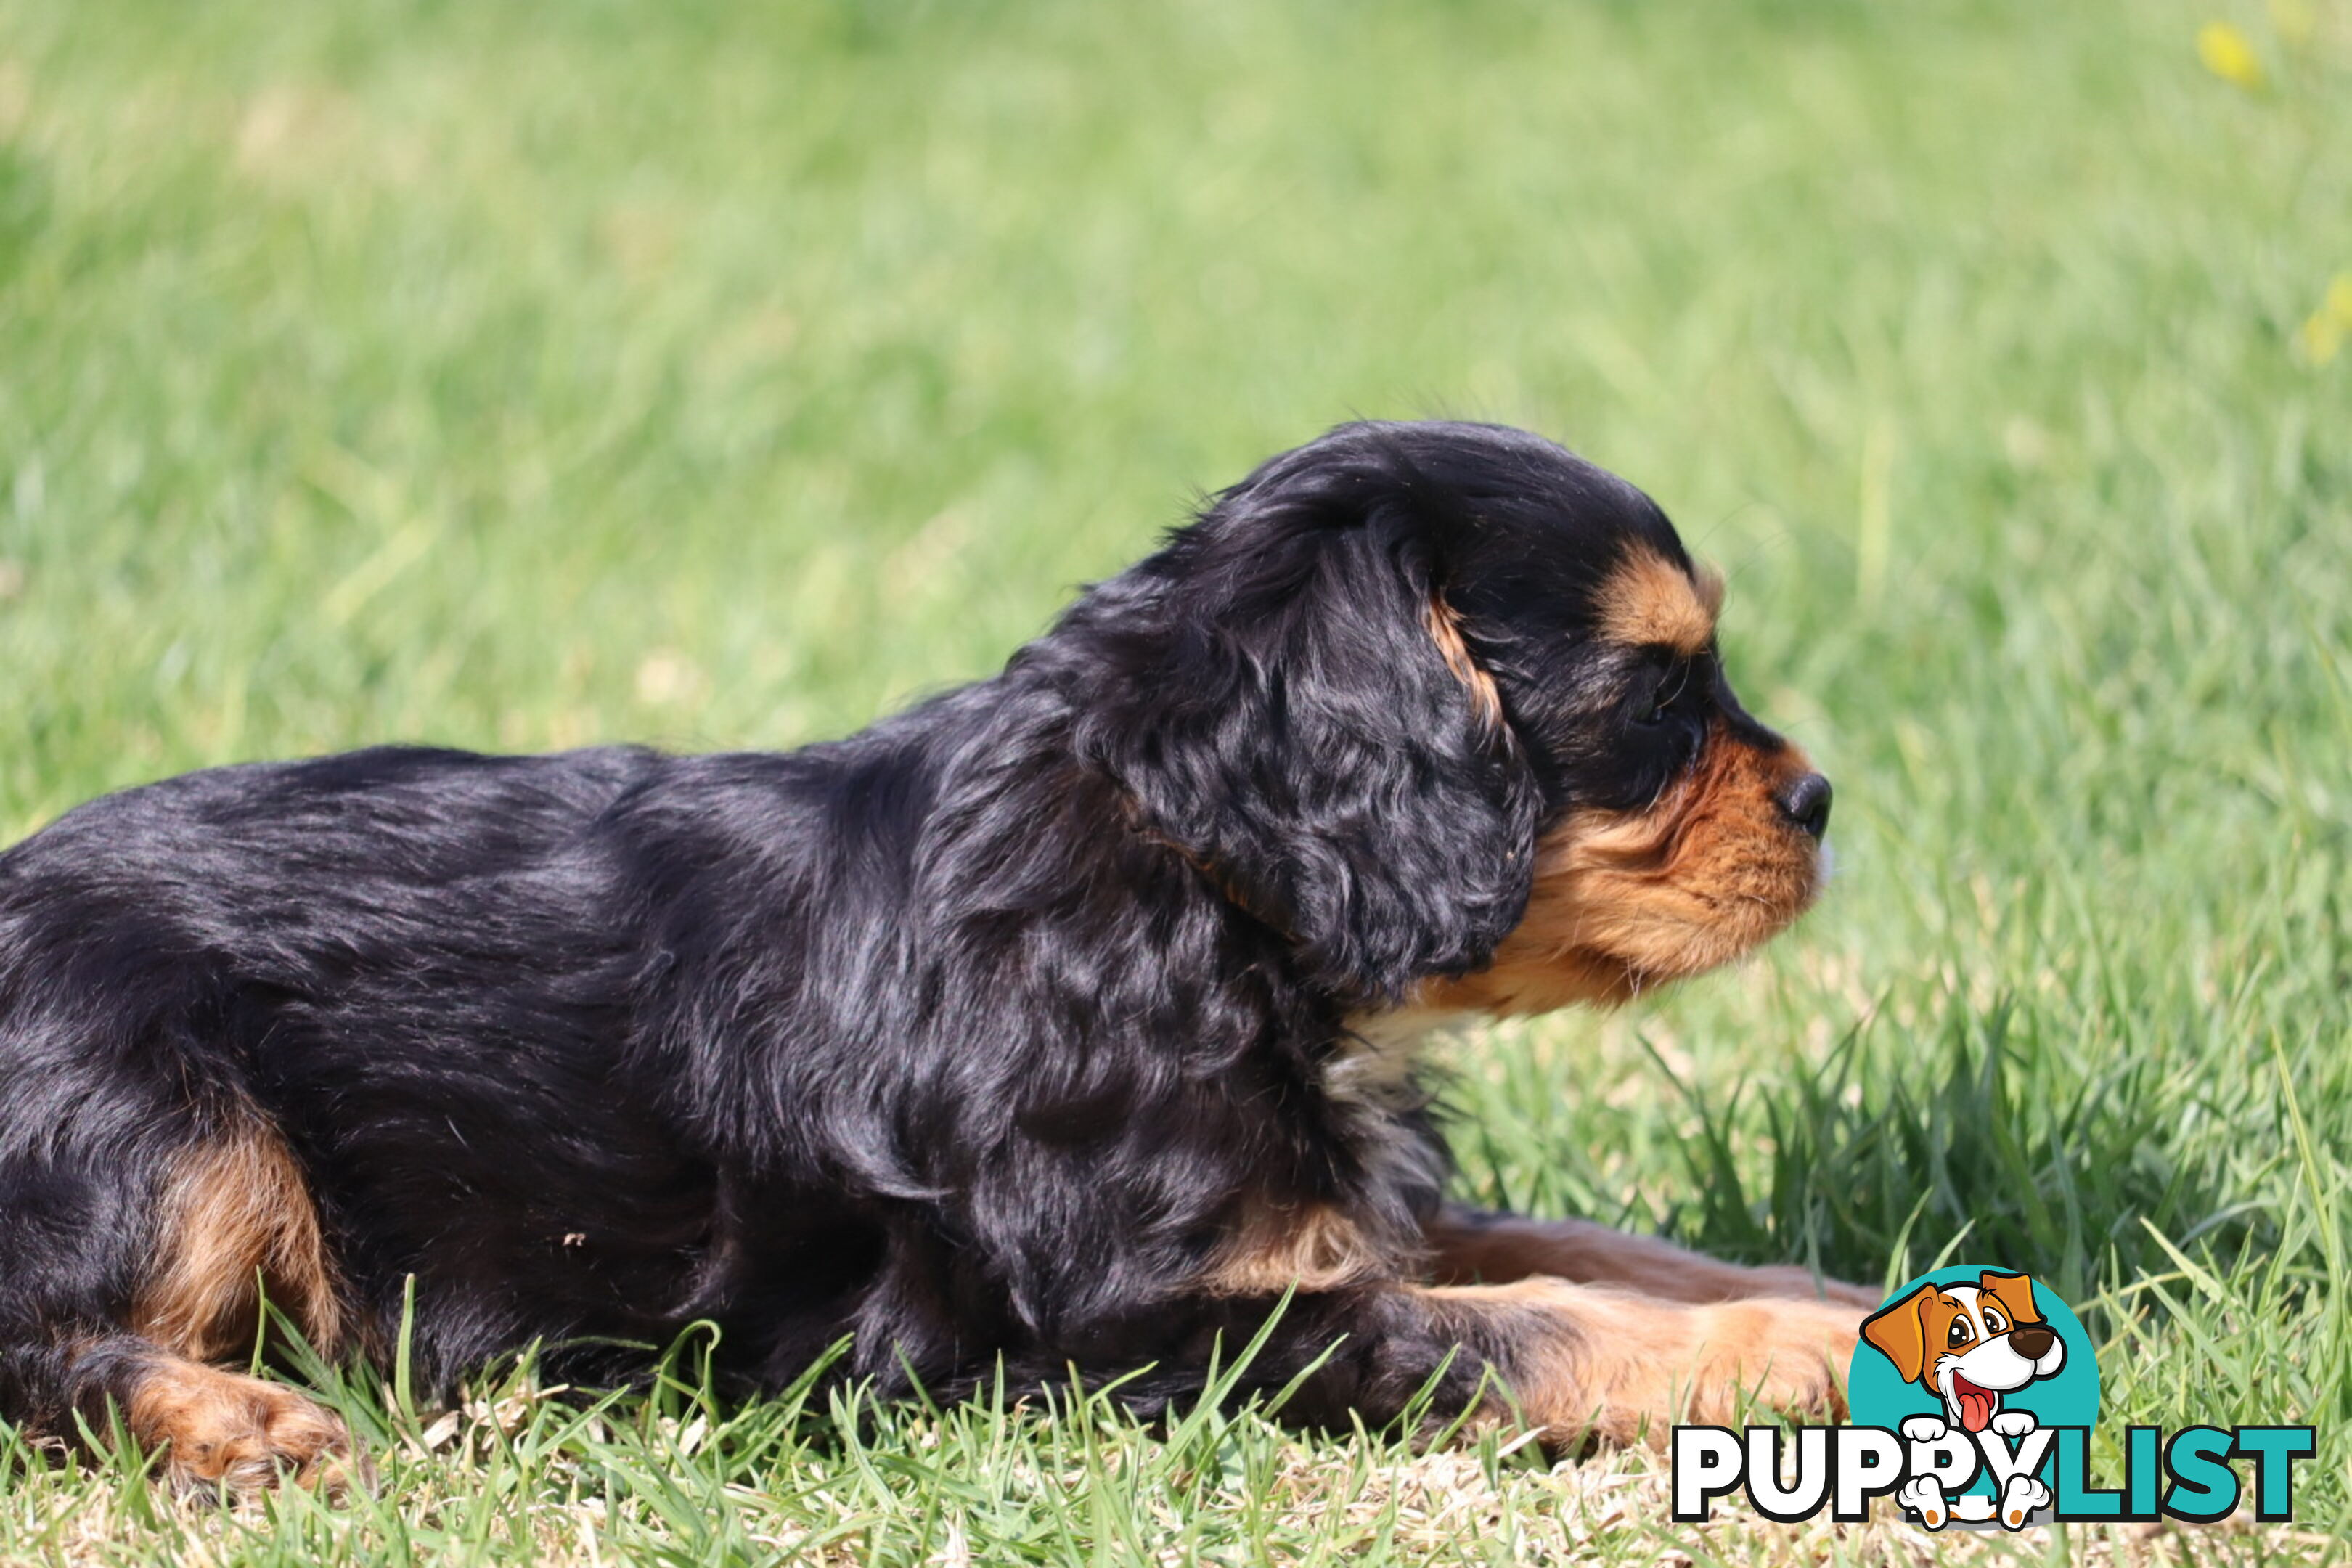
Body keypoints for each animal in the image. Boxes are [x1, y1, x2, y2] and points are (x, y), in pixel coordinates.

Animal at [4, 420, 1872, 1495]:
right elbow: (1515, 1324)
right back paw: (249, 1424)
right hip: (163, 1119)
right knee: (38, 1352)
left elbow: (1583, 1248)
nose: (1819, 798)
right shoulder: (1116, 1331)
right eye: (1648, 693)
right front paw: (1790, 1362)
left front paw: (1846, 1304)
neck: (1181, 889)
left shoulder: (1322, 1212)